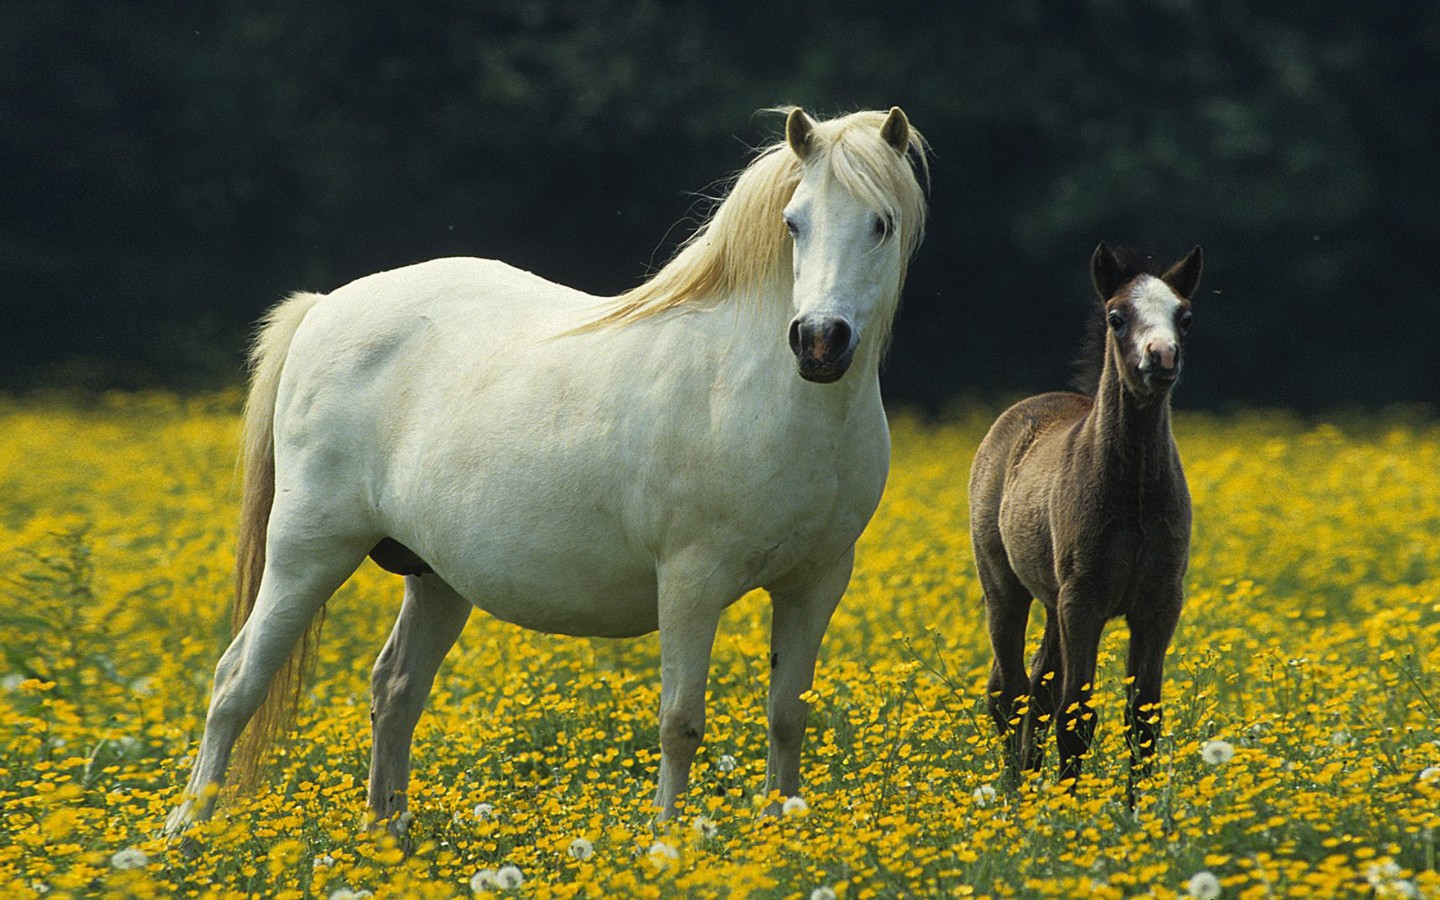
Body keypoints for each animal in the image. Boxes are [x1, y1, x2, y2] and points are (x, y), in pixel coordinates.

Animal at [163, 107, 927, 835]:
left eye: (881, 225)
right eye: (794, 223)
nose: (819, 342)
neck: (761, 393)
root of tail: (326, 306)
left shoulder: (816, 583)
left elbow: (788, 716)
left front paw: (781, 834)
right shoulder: (690, 582)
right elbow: (680, 724)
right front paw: (667, 843)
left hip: (435, 579)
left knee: (395, 690)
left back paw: (388, 837)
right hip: (308, 551)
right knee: (236, 680)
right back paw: (187, 832)